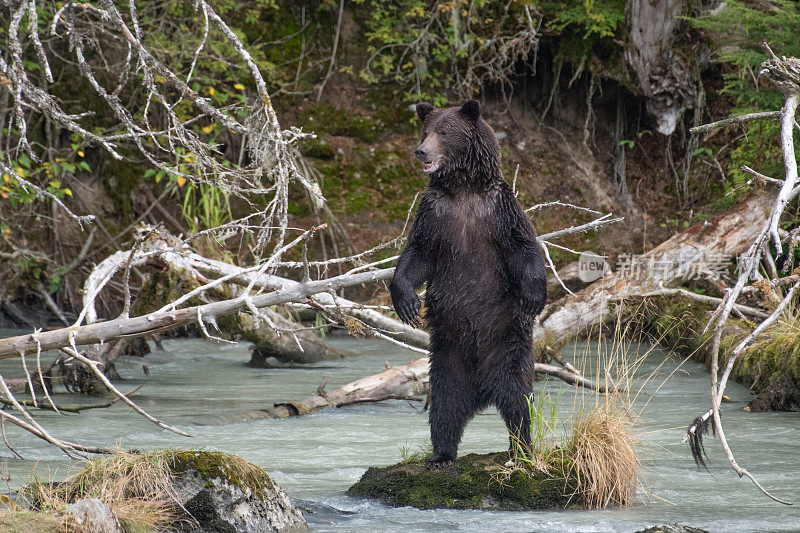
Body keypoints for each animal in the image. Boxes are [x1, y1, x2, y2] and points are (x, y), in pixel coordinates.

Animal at [390, 98, 552, 466]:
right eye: (425, 130)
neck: (463, 188)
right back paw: (441, 455)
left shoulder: (498, 210)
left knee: (518, 401)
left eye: (443, 132)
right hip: (447, 357)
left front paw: (534, 296)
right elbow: (417, 254)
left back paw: (521, 450)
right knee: (445, 405)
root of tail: (482, 391)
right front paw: (407, 302)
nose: (420, 151)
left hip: (508, 348)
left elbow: (524, 246)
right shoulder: (435, 215)